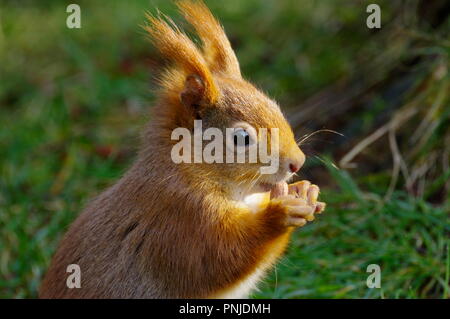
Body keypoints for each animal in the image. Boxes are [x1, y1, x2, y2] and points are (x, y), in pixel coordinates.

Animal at [39, 0, 324, 300]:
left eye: (275, 106)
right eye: (242, 138)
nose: (298, 162)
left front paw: (303, 190)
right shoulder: (182, 218)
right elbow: (220, 258)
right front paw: (279, 214)